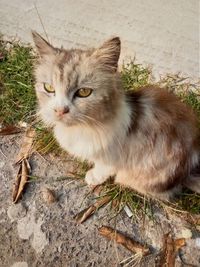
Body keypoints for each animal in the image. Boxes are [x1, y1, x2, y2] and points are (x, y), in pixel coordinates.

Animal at [32, 31, 199, 200]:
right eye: (49, 88)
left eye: (84, 92)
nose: (60, 110)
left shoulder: (113, 158)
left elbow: (103, 169)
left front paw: (93, 177)